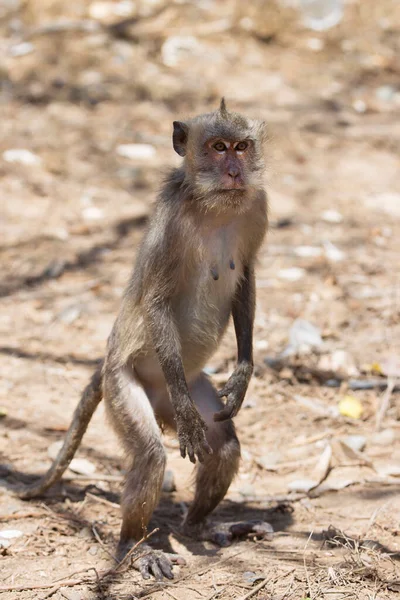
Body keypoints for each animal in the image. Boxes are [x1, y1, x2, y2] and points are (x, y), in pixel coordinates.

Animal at [18, 99, 268, 580]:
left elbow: (245, 279)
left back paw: (197, 526)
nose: (233, 171)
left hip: (177, 389)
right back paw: (134, 548)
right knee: (151, 454)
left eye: (242, 147)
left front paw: (244, 372)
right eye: (218, 147)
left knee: (223, 445)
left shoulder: (257, 206)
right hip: (128, 382)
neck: (214, 204)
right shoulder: (172, 224)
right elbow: (156, 301)